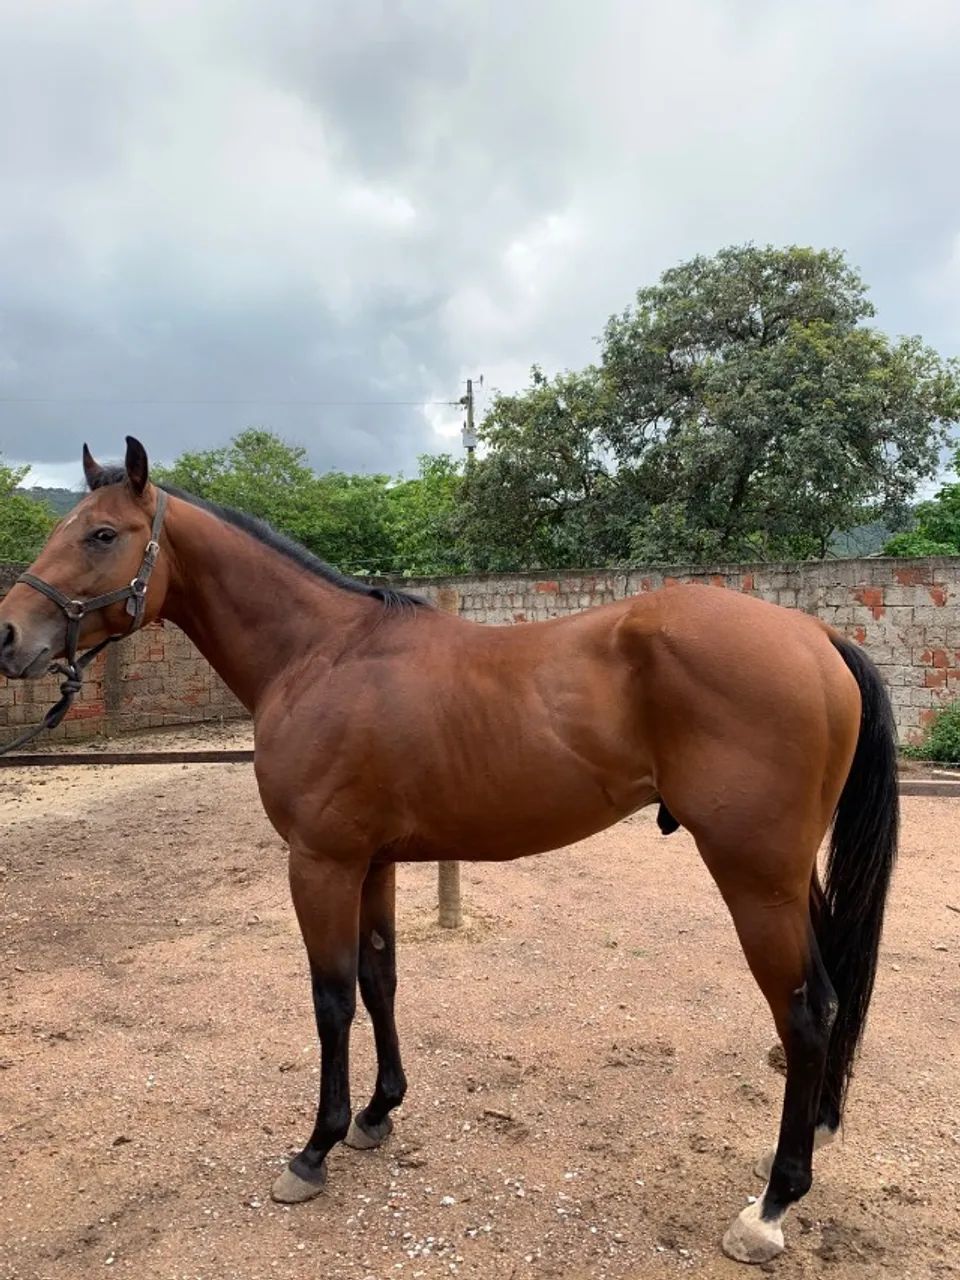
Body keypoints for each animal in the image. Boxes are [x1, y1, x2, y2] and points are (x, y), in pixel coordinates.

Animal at [0, 438, 898, 1265]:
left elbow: (332, 1000)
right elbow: (380, 978)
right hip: (789, 879)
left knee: (805, 1012)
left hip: (756, 880)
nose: (8, 636)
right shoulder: (373, 862)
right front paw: (377, 1113)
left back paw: (771, 1206)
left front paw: (315, 1148)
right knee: (829, 998)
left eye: (102, 535)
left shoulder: (319, 863)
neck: (321, 654)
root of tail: (815, 634)